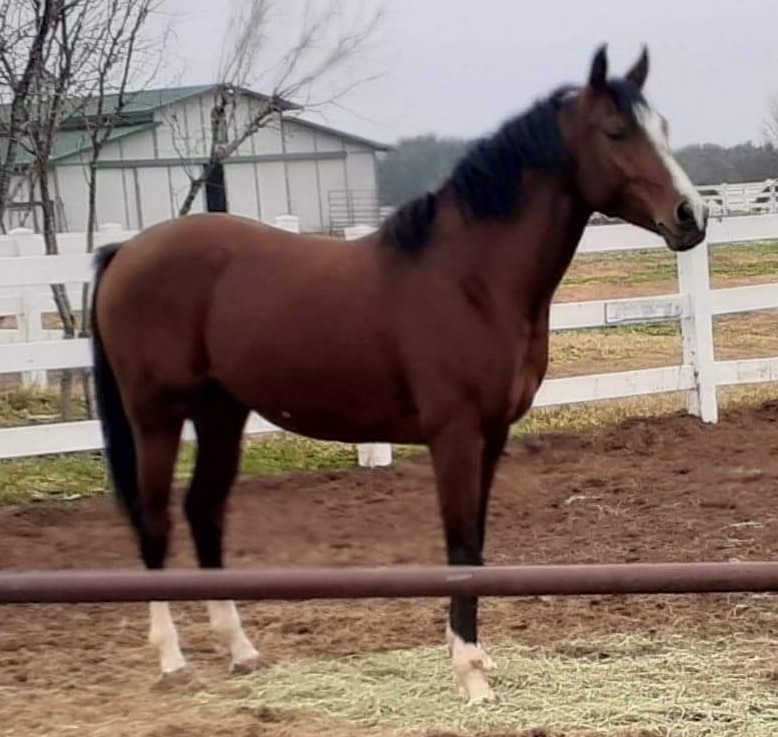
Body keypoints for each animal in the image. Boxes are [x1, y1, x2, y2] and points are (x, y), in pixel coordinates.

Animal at [90, 44, 708, 704]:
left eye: (662, 127)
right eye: (616, 131)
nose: (691, 216)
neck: (471, 278)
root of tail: (126, 252)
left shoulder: (492, 435)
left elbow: (476, 542)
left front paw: (477, 660)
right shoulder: (455, 435)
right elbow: (458, 542)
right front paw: (470, 676)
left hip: (221, 413)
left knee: (203, 511)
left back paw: (241, 651)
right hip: (157, 417)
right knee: (155, 520)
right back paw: (172, 660)